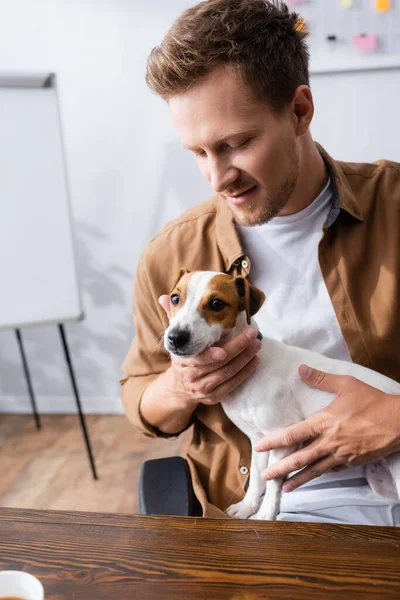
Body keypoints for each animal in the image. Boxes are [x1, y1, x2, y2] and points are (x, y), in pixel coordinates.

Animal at [163, 270, 400, 516]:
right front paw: (247, 507)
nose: (175, 337)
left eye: (217, 303)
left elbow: (273, 479)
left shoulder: (282, 438)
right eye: (175, 298)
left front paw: (266, 515)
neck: (251, 369)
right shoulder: (259, 441)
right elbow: (258, 477)